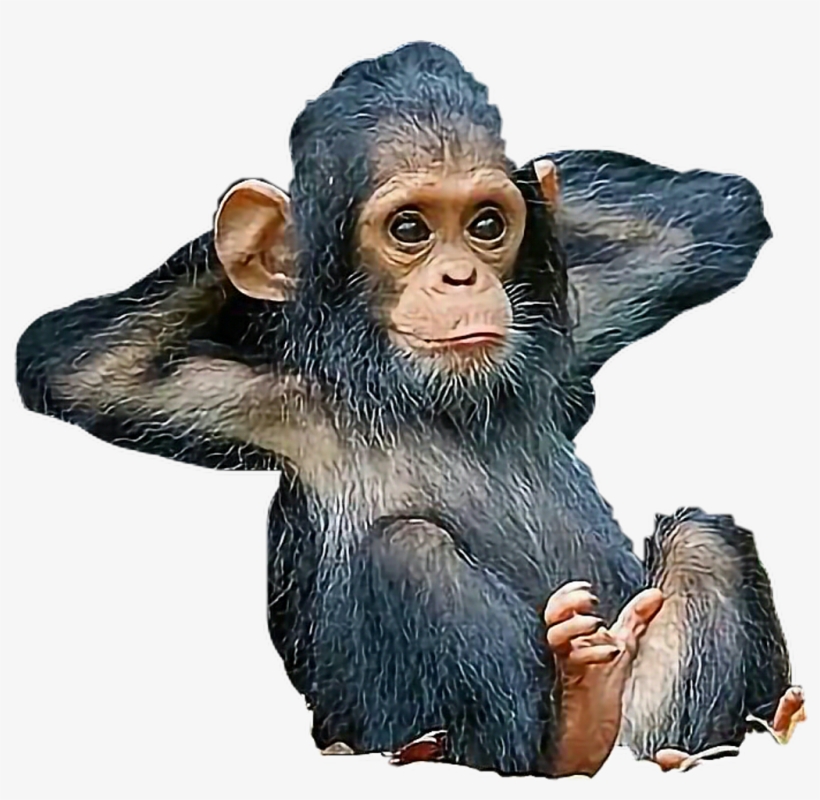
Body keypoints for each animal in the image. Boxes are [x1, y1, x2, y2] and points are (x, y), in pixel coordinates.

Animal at [15, 42, 803, 776]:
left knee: (703, 541)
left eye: (486, 224)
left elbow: (710, 219)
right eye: (410, 230)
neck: (422, 393)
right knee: (408, 551)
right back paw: (578, 719)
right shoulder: (251, 397)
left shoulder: (576, 316)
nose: (461, 277)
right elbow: (74, 365)